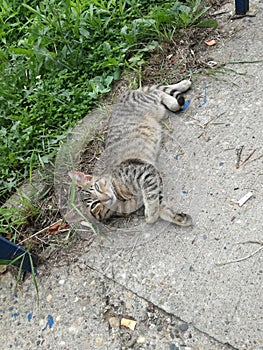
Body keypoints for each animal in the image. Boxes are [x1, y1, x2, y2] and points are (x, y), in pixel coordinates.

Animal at [69, 78, 194, 227]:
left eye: (97, 187)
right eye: (94, 205)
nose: (105, 198)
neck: (120, 199)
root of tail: (122, 95)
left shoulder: (144, 172)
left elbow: (151, 201)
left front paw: (151, 215)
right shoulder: (152, 181)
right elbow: (161, 206)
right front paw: (179, 218)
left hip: (150, 103)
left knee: (156, 92)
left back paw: (177, 95)